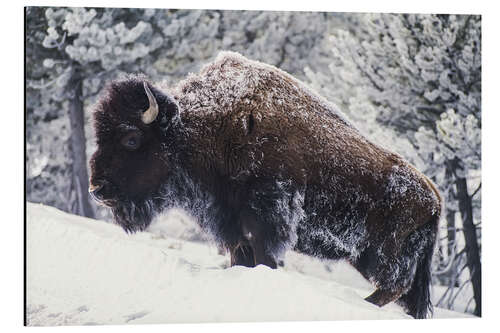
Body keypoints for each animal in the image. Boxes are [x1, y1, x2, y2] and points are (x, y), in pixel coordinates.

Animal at [89, 50, 442, 318]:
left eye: (131, 139)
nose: (97, 189)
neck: (197, 129)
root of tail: (435, 199)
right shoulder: (231, 226)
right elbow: (240, 259)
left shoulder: (266, 221)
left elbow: (264, 260)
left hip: (378, 256)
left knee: (394, 286)